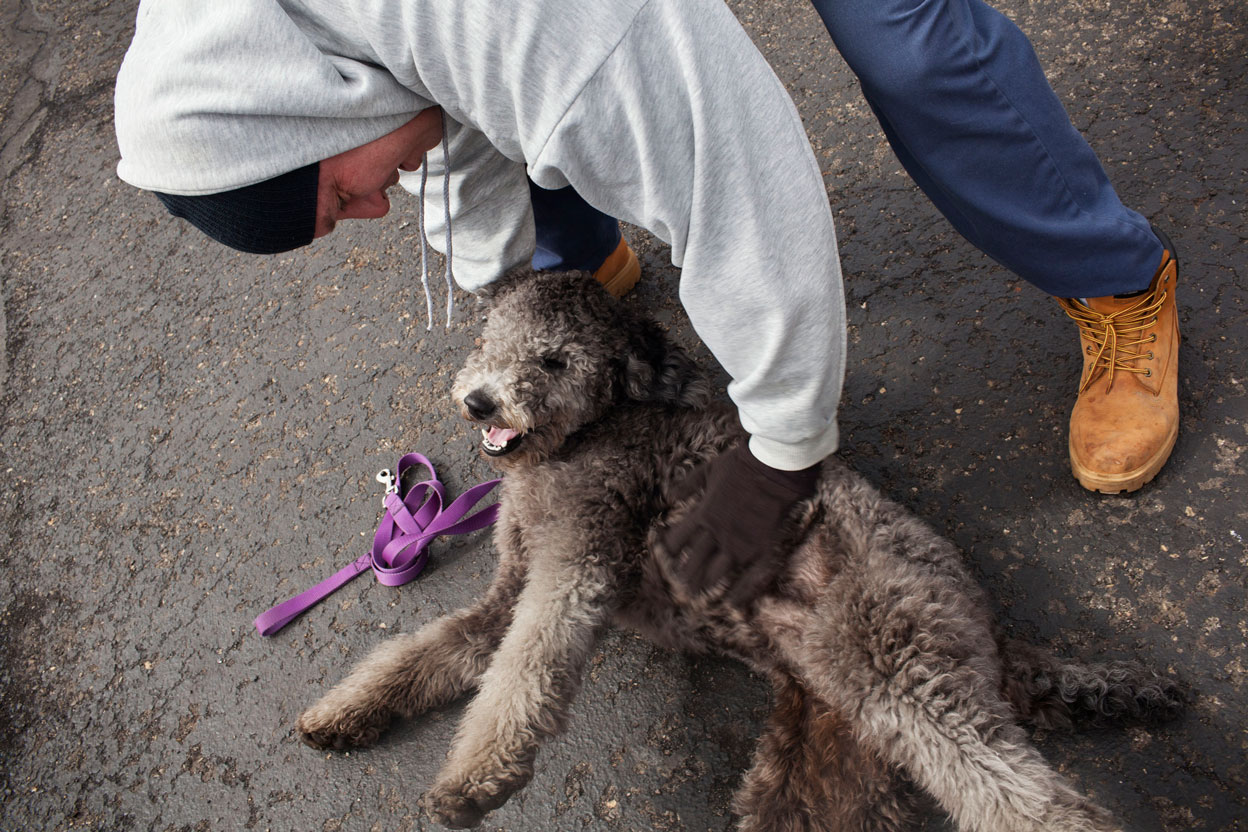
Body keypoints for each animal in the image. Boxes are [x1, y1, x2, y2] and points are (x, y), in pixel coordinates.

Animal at [297, 270, 1183, 828]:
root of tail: (998, 641)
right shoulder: (506, 592)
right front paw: (345, 713)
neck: (586, 438)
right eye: (489, 340)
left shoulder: (574, 568)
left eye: (553, 360)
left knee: (1034, 800)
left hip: (904, 673)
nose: (482, 400)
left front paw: (471, 784)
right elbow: (426, 653)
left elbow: (525, 675)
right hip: (829, 755)